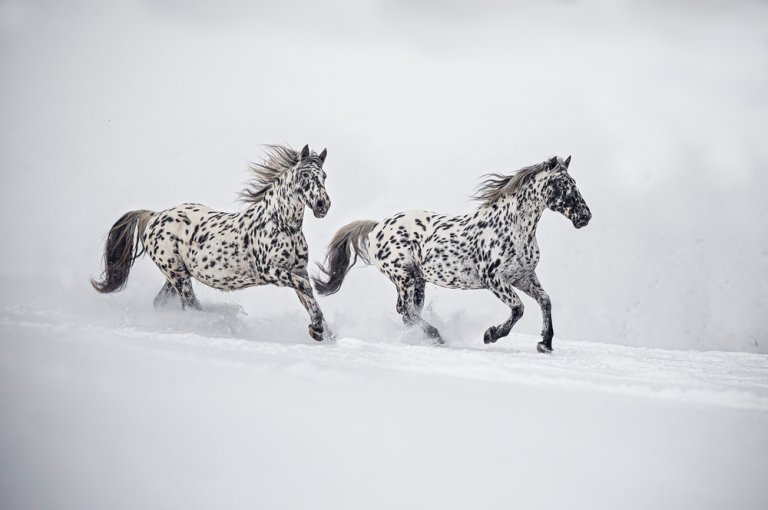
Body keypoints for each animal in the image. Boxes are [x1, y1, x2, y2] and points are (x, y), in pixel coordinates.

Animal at [91, 144, 335, 341]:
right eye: (304, 174)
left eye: (324, 175)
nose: (323, 205)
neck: (282, 225)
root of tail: (154, 216)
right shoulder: (270, 271)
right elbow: (305, 289)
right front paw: (317, 329)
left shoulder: (298, 270)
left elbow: (308, 296)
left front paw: (323, 331)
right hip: (178, 276)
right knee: (191, 307)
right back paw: (215, 325)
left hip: (176, 275)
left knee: (162, 303)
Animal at [313, 155, 591, 353]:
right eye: (562, 184)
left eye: (574, 183)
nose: (584, 217)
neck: (513, 227)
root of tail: (378, 226)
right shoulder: (495, 280)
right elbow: (518, 308)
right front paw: (491, 335)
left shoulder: (523, 277)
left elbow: (545, 301)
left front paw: (545, 344)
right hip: (403, 277)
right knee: (406, 311)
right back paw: (437, 336)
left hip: (418, 281)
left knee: (410, 312)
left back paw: (427, 338)